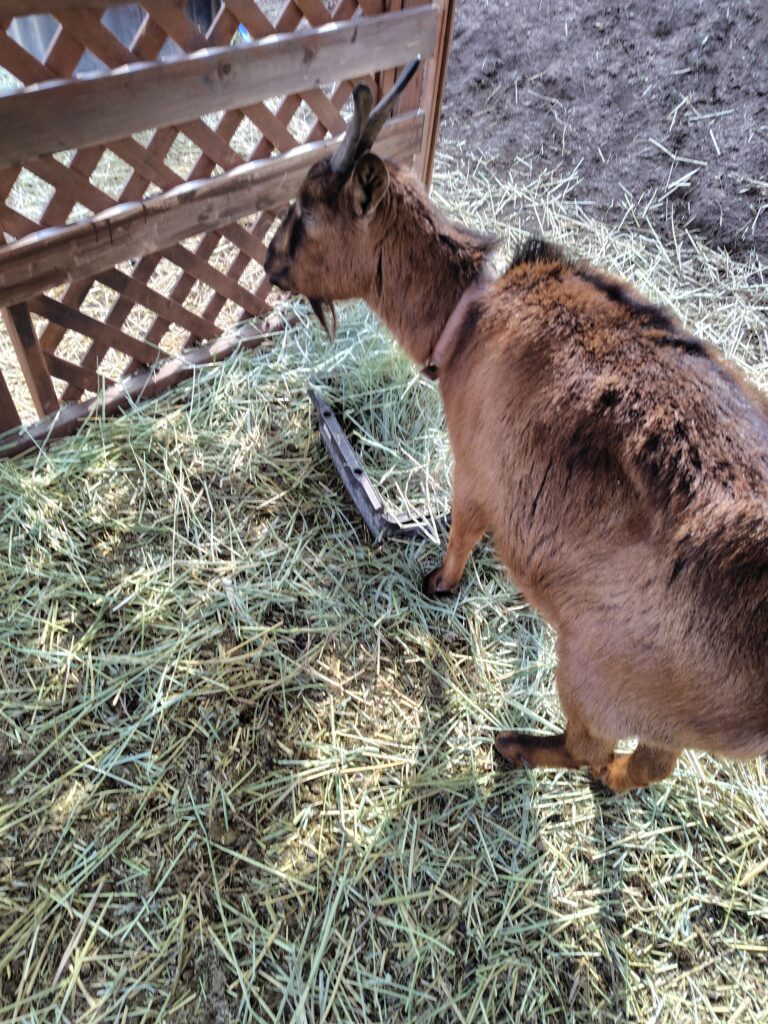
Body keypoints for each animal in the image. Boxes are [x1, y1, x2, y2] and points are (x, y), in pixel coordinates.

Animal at [265, 62, 768, 792]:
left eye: (305, 210)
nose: (267, 262)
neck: (470, 314)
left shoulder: (477, 468)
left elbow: (462, 532)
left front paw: (438, 585)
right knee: (651, 764)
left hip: (599, 667)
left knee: (594, 747)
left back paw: (513, 746)